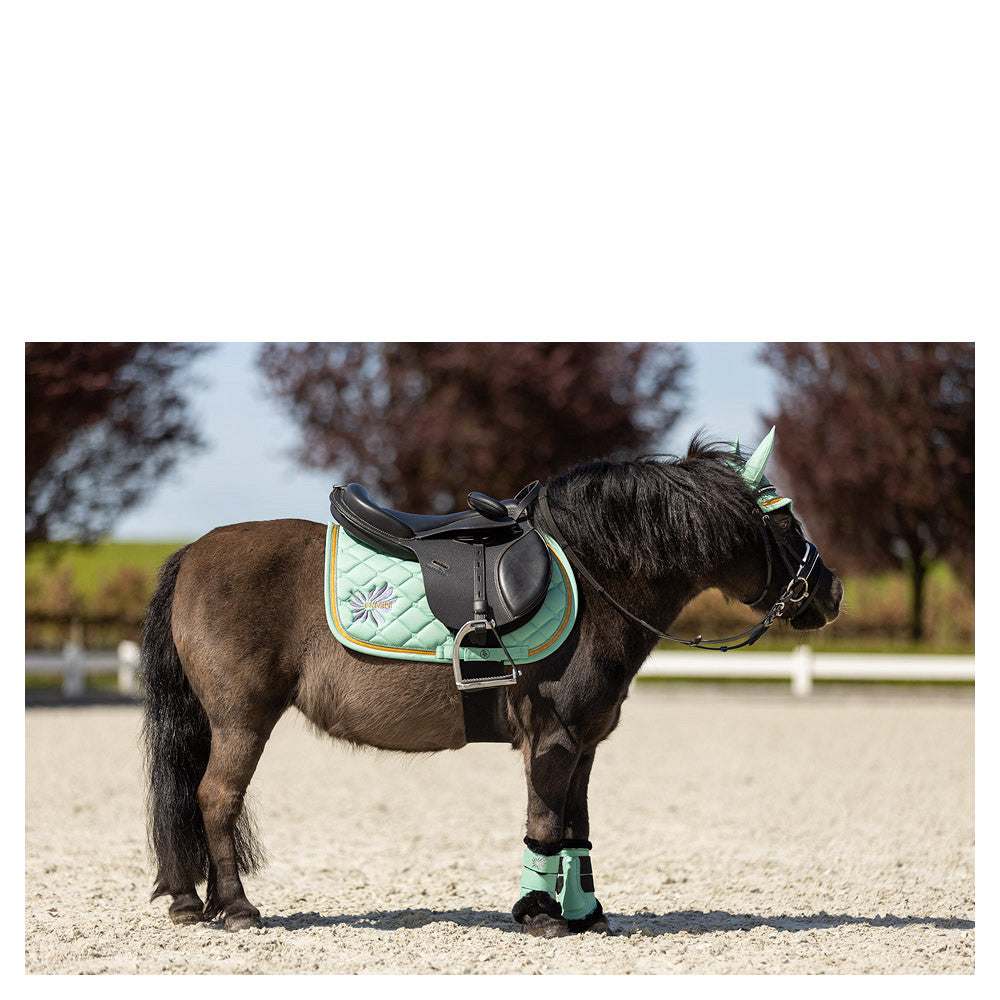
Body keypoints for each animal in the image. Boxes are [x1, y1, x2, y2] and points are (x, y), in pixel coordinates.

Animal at [140, 436, 843, 938]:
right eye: (785, 523)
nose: (832, 592)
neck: (593, 575)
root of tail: (193, 553)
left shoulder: (585, 745)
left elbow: (577, 828)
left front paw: (585, 913)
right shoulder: (553, 739)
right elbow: (545, 823)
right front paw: (540, 913)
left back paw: (195, 900)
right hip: (242, 720)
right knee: (215, 798)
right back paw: (235, 907)